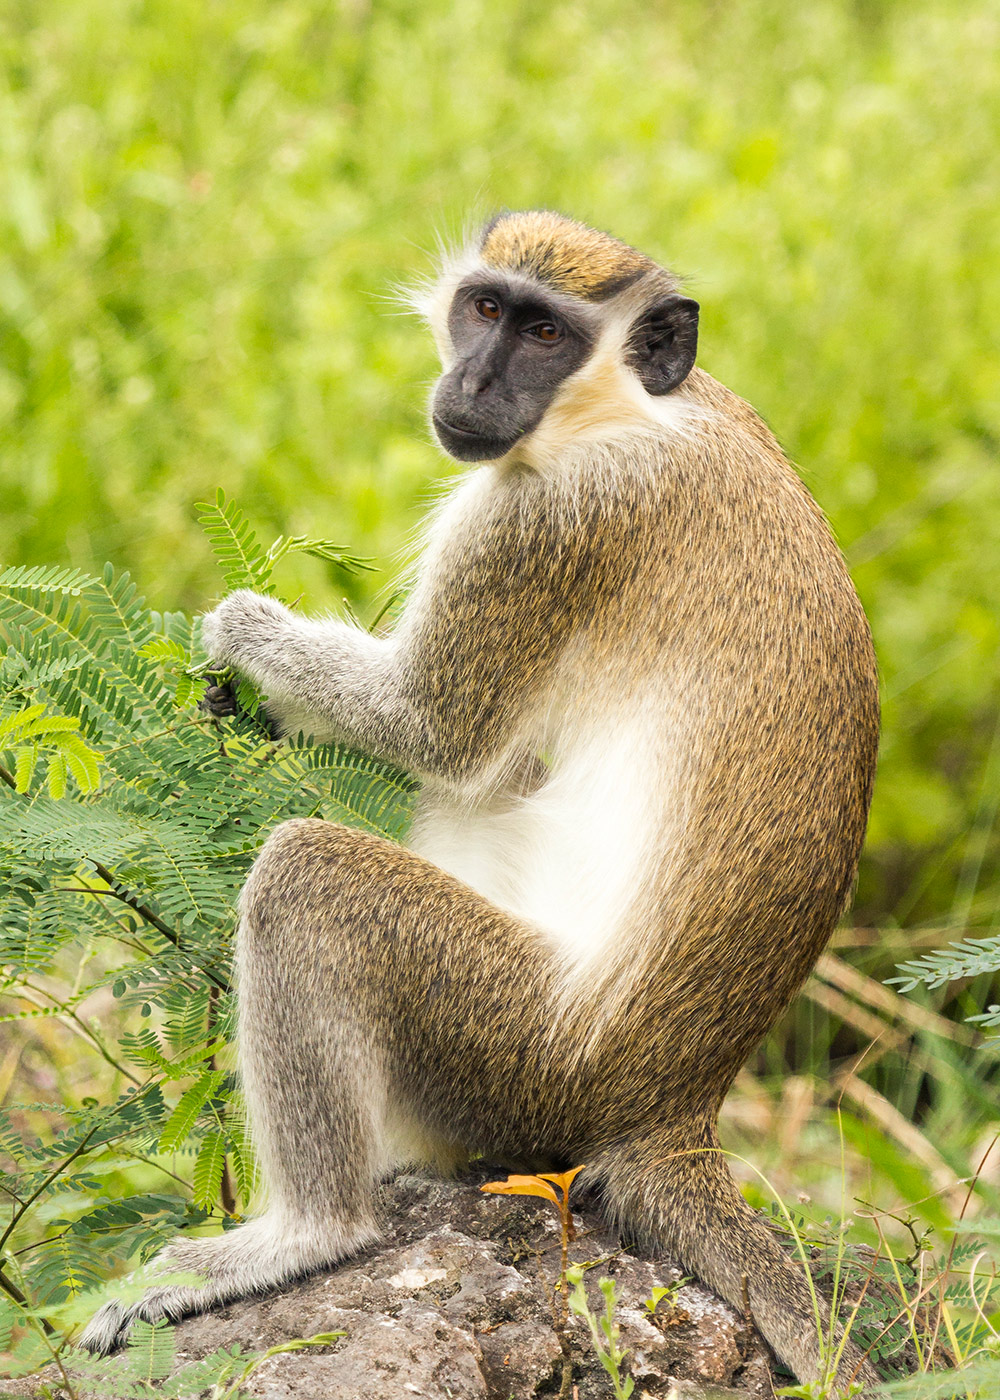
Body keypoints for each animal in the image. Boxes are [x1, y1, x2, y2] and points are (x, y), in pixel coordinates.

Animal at [81, 211, 880, 1390]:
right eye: (487, 309)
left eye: (547, 334)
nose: (474, 380)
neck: (642, 405)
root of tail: (677, 1106)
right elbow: (473, 758)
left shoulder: (549, 516)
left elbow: (435, 729)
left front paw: (243, 635)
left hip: (522, 1050)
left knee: (311, 876)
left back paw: (308, 1232)